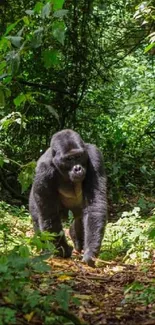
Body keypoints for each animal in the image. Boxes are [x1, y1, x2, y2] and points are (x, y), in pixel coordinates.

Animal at [28, 129, 106, 266]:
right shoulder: (43, 170)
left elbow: (95, 205)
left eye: (79, 156)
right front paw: (63, 250)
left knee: (79, 218)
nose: (78, 168)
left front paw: (90, 252)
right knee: (38, 217)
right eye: (69, 159)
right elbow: (49, 215)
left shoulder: (94, 156)